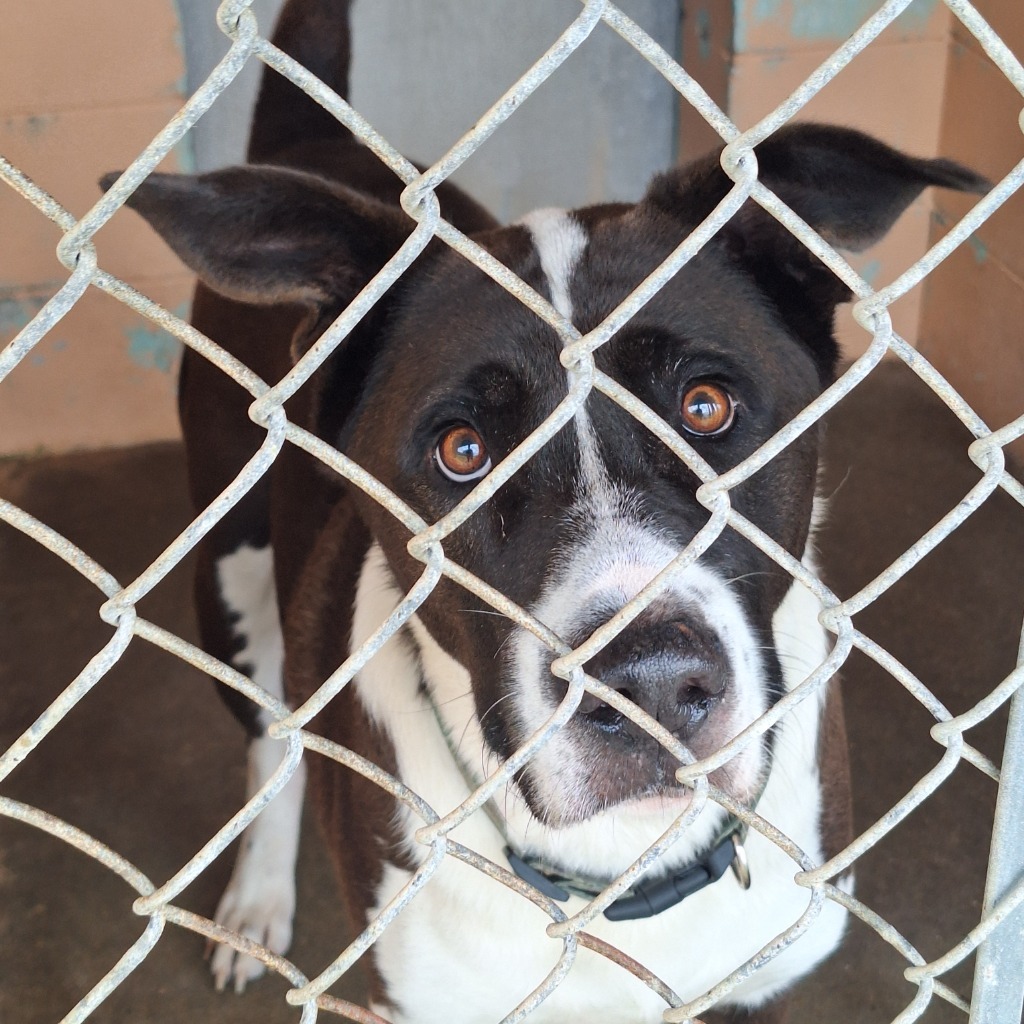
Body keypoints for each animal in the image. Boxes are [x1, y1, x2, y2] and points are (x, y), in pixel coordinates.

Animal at [101, 0, 983, 1019]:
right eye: (462, 451)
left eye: (706, 406)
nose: (648, 685)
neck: (621, 879)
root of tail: (317, 141)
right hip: (228, 584)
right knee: (270, 744)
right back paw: (256, 899)